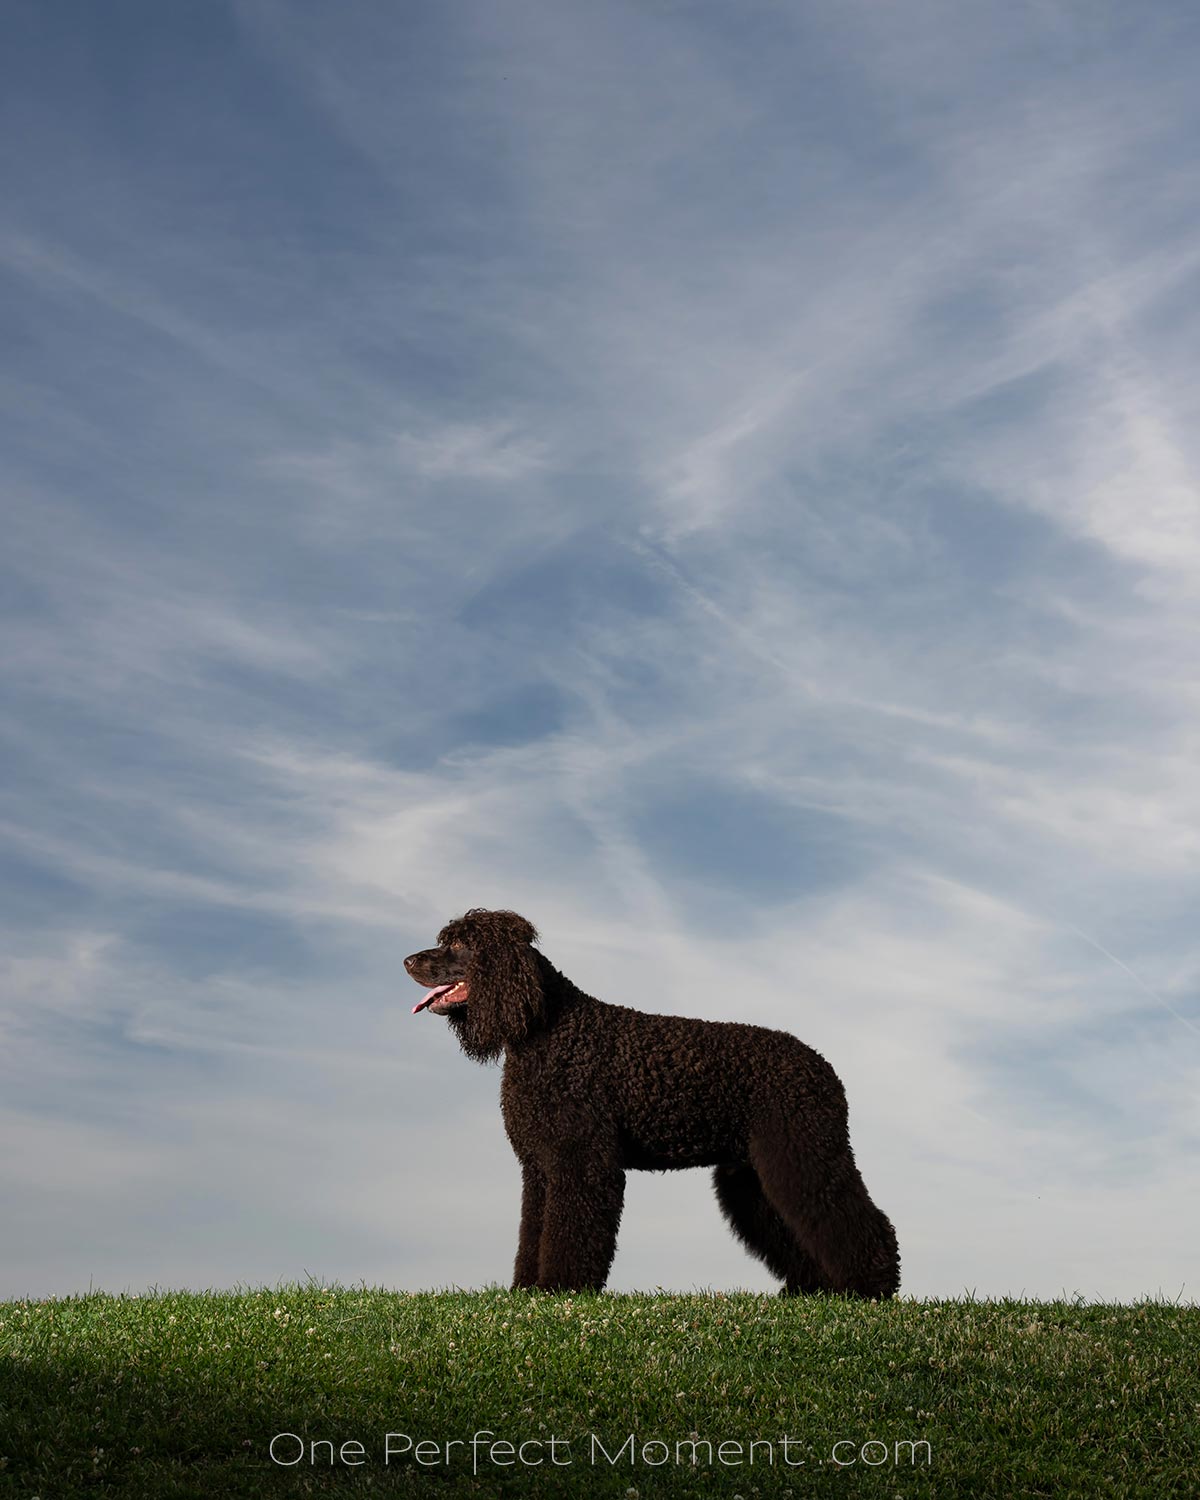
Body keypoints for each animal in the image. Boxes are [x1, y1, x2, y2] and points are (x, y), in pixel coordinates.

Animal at [408, 906, 894, 1296]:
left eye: (458, 944)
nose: (408, 960)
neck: (548, 1029)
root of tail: (824, 1068)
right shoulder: (541, 1166)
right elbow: (535, 1232)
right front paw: (527, 1289)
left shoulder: (581, 1161)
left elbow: (568, 1232)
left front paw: (560, 1288)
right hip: (757, 1172)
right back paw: (815, 1291)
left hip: (805, 1150)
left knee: (853, 1219)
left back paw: (871, 1286)